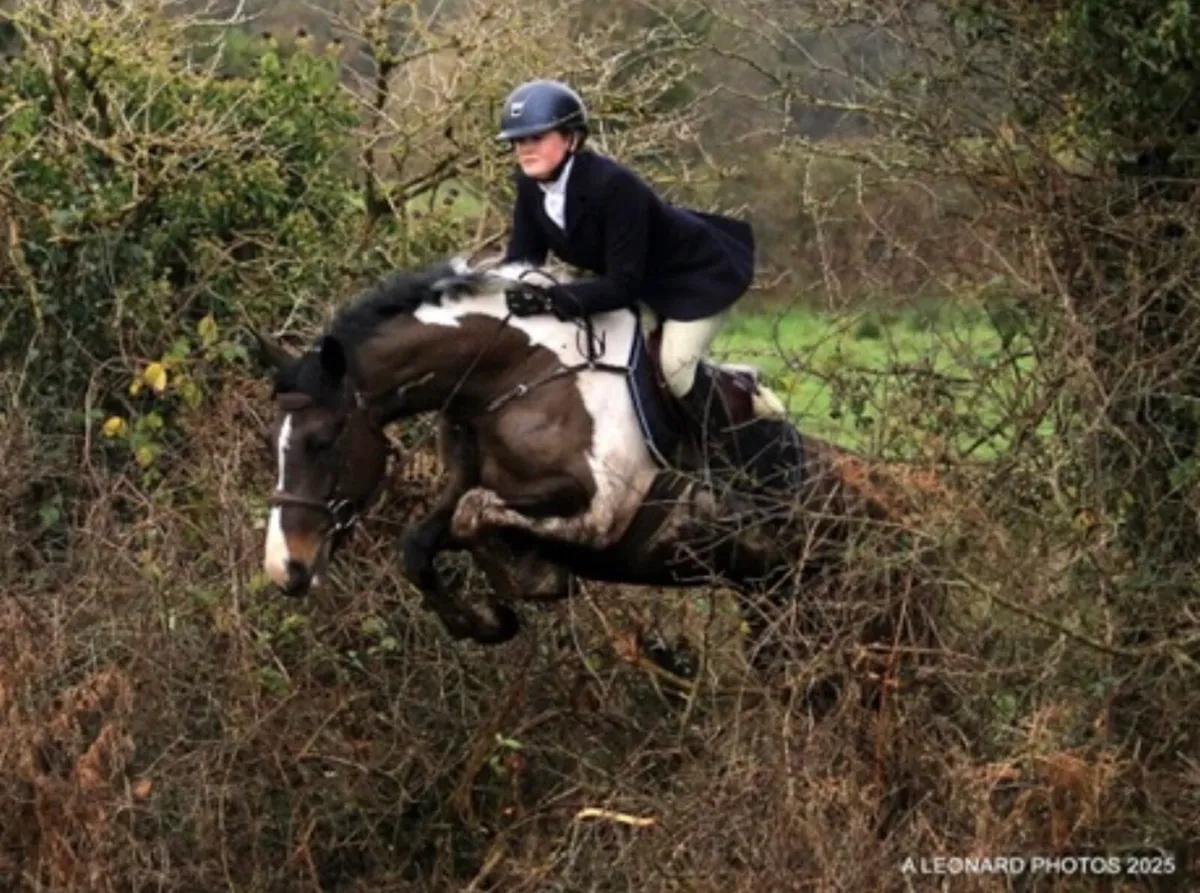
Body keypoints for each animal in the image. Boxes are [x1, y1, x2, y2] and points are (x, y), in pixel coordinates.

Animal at [255, 256, 941, 679]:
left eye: (321, 441)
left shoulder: (600, 514)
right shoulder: (467, 487)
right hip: (773, 604)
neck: (512, 376)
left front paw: (533, 581)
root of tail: (904, 508)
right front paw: (486, 621)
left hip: (838, 608)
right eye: (276, 443)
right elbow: (421, 544)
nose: (285, 569)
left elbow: (480, 520)